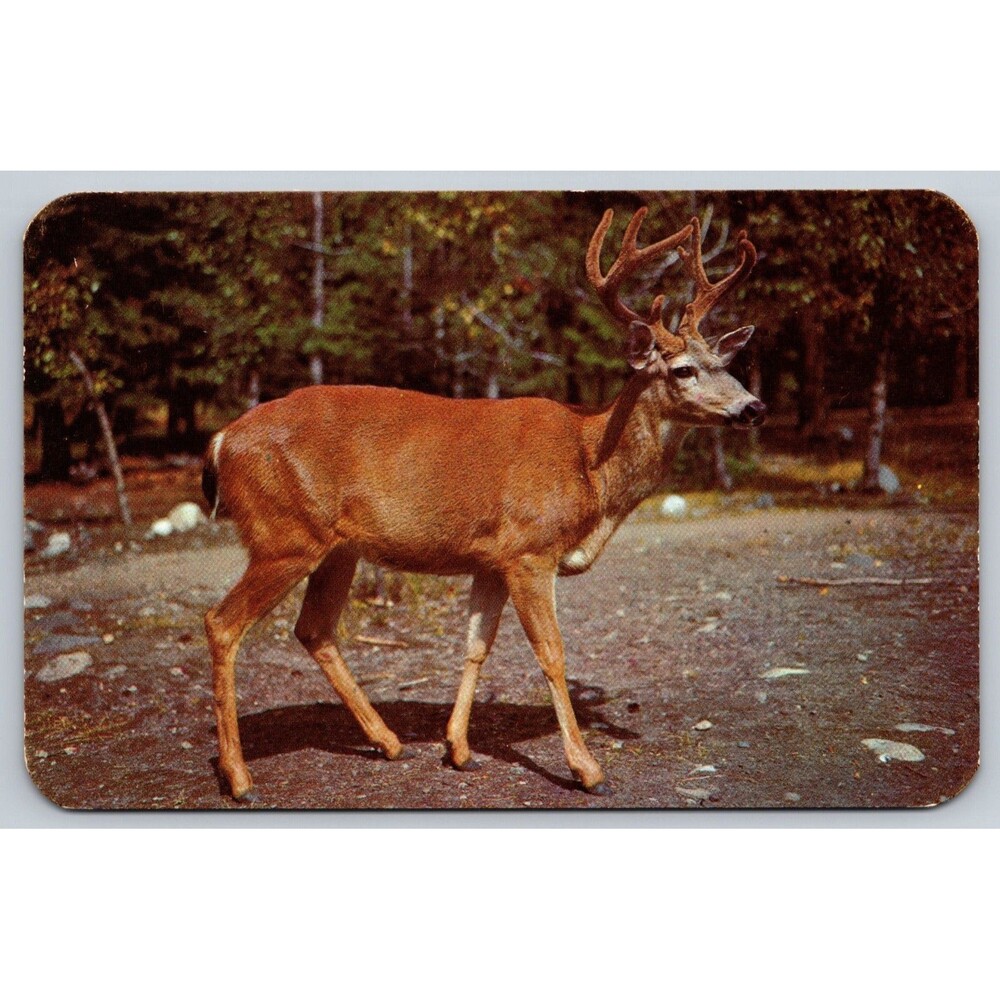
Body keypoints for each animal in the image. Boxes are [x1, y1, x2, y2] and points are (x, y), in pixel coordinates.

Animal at [202, 205, 763, 801]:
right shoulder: (529, 550)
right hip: (283, 533)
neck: (590, 465)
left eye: (725, 362)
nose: (754, 407)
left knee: (313, 629)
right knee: (222, 623)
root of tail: (221, 441)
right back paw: (239, 777)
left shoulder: (491, 559)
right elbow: (552, 652)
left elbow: (476, 644)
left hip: (335, 547)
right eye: (682, 369)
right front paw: (587, 770)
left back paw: (389, 742)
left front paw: (458, 749)